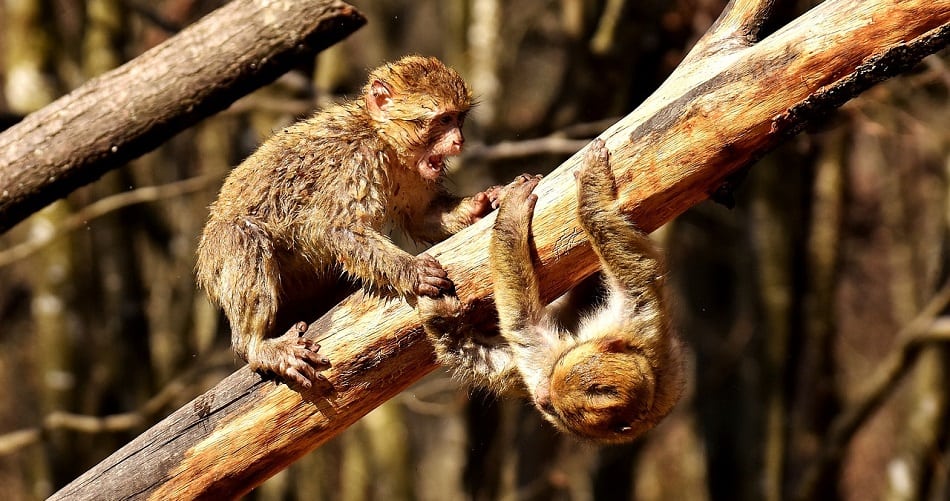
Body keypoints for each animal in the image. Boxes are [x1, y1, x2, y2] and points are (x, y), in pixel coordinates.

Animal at [196, 56, 503, 390]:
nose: (459, 141)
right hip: (217, 254)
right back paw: (256, 345)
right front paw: (411, 270)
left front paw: (482, 205)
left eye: (459, 118)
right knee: (242, 235)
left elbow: (422, 216)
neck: (380, 137)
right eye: (444, 120)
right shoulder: (356, 159)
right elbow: (335, 228)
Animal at [419, 140, 685, 443]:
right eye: (552, 401)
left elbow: (521, 324)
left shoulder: (637, 316)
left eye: (560, 409)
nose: (543, 398)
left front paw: (583, 203)